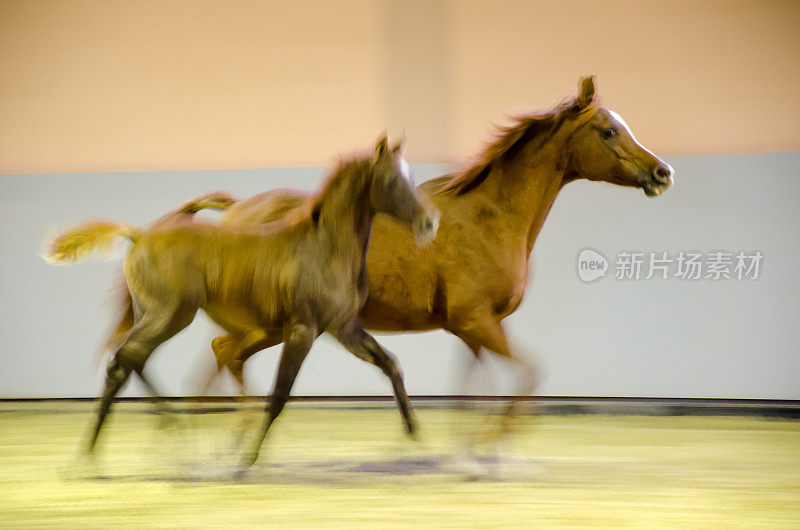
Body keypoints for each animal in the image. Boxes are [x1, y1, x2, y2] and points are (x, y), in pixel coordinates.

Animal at [47, 134, 440, 464]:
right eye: (391, 180)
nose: (430, 222)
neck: (325, 249)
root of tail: (141, 236)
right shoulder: (303, 329)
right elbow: (280, 393)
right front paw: (248, 456)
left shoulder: (345, 328)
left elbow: (391, 364)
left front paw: (415, 434)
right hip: (171, 314)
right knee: (124, 361)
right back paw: (92, 455)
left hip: (157, 315)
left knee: (135, 360)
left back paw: (168, 434)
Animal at [108, 75, 676, 434]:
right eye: (608, 129)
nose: (663, 172)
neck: (490, 218)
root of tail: (228, 215)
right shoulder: (477, 322)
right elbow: (526, 381)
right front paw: (488, 450)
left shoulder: (472, 330)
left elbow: (470, 396)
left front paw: (463, 453)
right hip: (272, 324)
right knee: (217, 356)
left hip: (269, 326)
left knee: (221, 355)